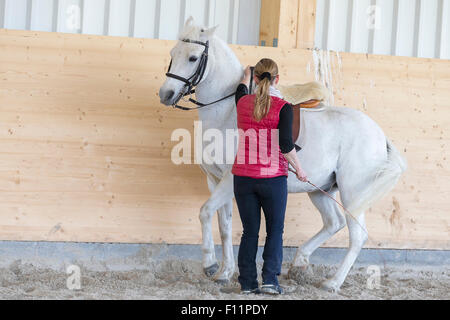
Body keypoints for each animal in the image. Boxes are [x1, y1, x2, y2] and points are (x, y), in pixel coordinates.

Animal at [159, 16, 408, 292]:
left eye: (193, 57)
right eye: (172, 54)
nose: (166, 94)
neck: (229, 113)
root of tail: (379, 134)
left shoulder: (230, 179)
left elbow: (204, 212)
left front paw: (210, 265)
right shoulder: (214, 180)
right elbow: (223, 225)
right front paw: (224, 272)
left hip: (353, 193)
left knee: (357, 235)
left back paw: (332, 283)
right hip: (320, 190)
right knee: (334, 223)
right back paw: (300, 263)